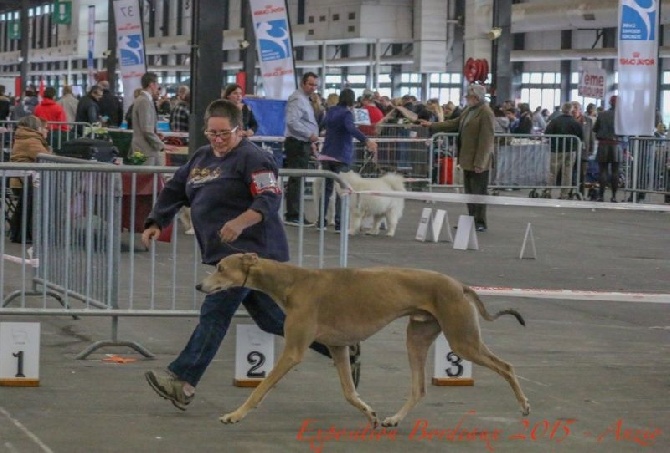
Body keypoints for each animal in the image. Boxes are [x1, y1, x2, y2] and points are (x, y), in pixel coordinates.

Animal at [197, 256, 532, 426]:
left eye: (221, 268)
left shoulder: (294, 351)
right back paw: (394, 419)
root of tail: (460, 285)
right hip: (417, 338)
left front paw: (234, 414)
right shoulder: (338, 347)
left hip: (463, 341)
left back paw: (525, 406)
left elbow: (260, 388)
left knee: (507, 366)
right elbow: (348, 391)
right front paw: (369, 412)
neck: (293, 282)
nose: (200, 286)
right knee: (419, 388)